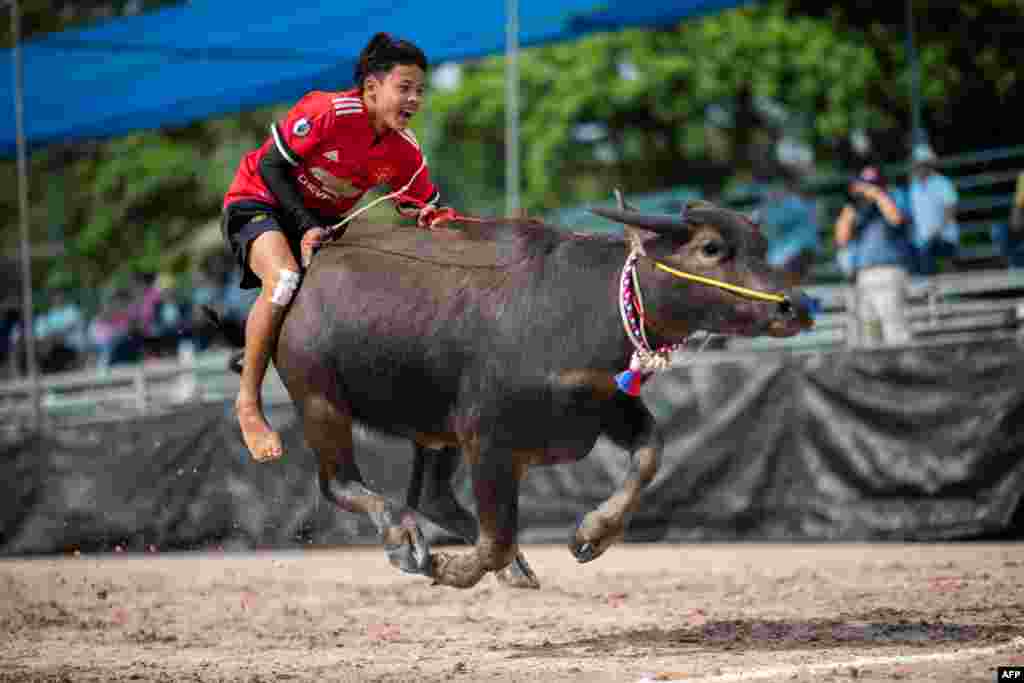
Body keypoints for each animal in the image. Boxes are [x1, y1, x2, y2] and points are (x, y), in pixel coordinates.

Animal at [222, 197, 806, 589]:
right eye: (711, 248)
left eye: (761, 245)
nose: (795, 305)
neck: (580, 309)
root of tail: (300, 279)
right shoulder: (490, 441)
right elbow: (497, 538)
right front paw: (452, 568)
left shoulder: (605, 407)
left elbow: (650, 455)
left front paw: (592, 533)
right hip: (320, 401)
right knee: (341, 483)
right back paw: (404, 540)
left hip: (434, 427)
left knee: (430, 494)